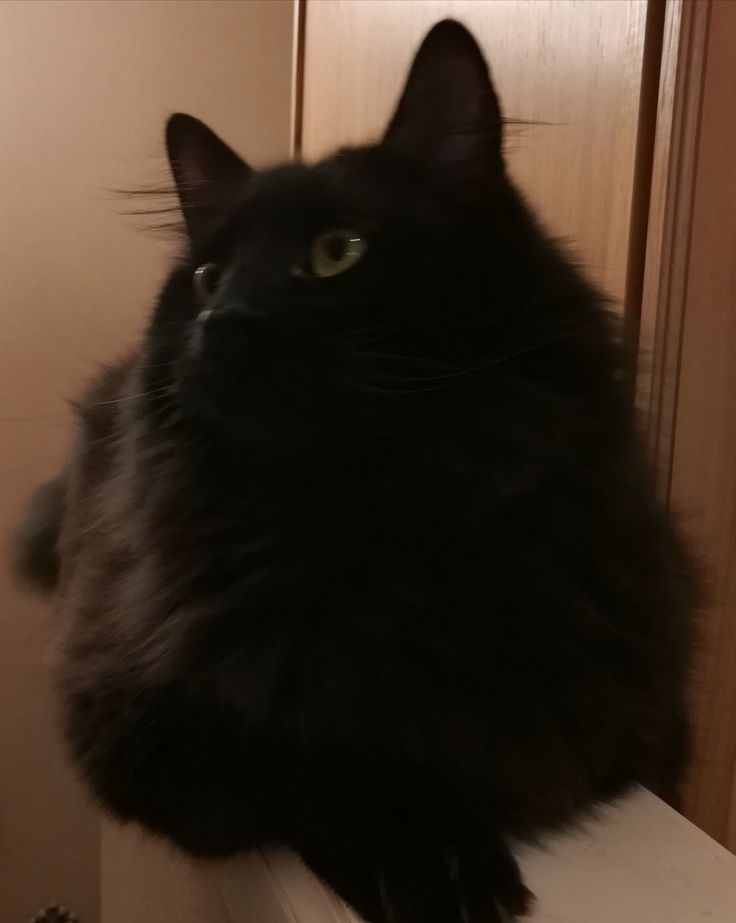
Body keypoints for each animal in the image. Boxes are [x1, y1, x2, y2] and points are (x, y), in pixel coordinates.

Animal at [15, 21, 696, 923]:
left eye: (337, 251)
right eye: (207, 278)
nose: (223, 321)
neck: (364, 522)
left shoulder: (629, 710)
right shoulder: (134, 705)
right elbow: (316, 752)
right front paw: (431, 858)